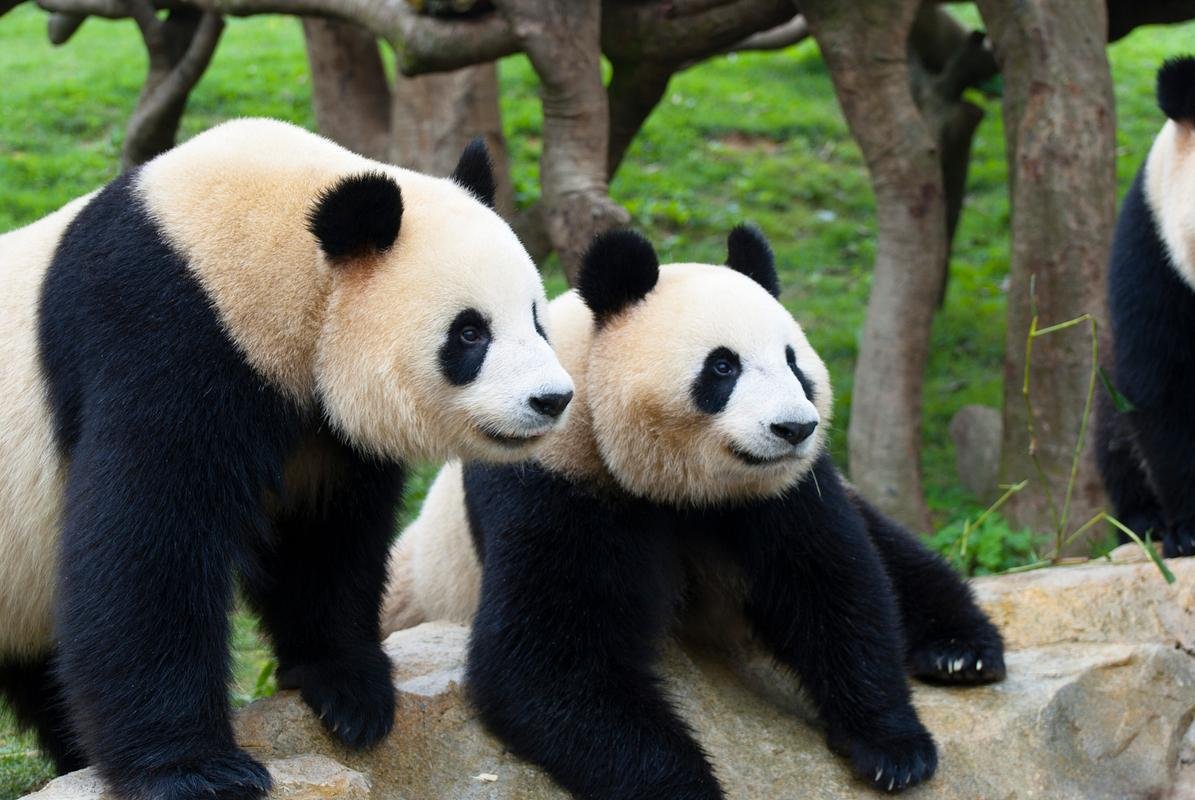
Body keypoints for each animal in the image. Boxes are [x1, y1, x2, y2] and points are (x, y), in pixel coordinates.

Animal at [0, 118, 574, 800]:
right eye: (470, 332)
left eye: (537, 317)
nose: (552, 399)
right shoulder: (161, 332)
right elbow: (145, 545)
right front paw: (198, 772)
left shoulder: (318, 422)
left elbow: (321, 539)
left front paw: (350, 693)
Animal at [383, 227, 1006, 798]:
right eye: (723, 367)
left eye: (793, 363)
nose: (794, 429)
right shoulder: (553, 480)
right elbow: (549, 658)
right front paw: (686, 787)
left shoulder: (781, 492)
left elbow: (832, 584)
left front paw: (893, 746)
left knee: (894, 549)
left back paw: (962, 653)